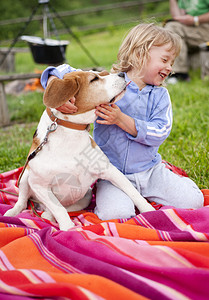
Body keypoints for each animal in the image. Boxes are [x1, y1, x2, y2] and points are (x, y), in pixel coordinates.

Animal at [4, 70, 155, 230]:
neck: (71, 134)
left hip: (87, 195)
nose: (121, 73)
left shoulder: (109, 170)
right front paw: (68, 228)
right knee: (24, 202)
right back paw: (14, 212)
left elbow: (132, 191)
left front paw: (149, 210)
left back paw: (47, 215)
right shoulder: (39, 184)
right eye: (94, 79)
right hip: (25, 176)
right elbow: (58, 208)